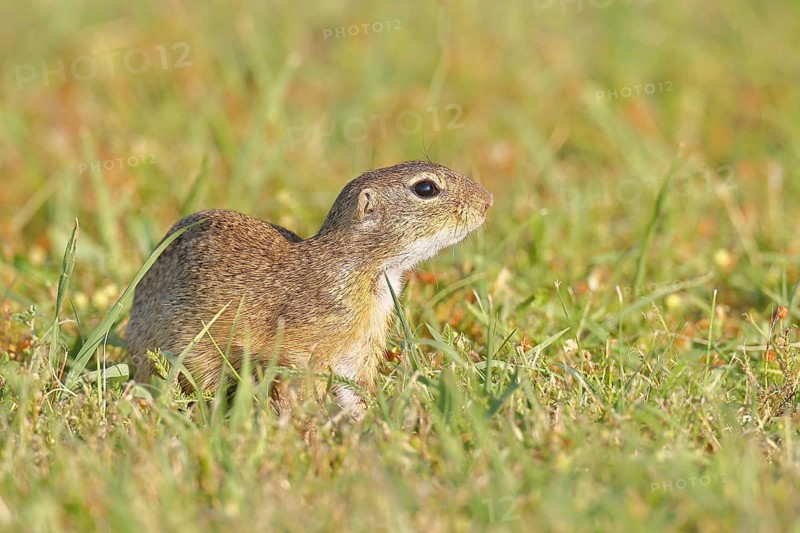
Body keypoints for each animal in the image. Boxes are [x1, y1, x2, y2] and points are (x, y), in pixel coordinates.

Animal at [126, 160, 493, 416]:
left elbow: (354, 388)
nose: (488, 199)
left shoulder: (359, 348)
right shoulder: (301, 344)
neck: (361, 270)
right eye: (426, 188)